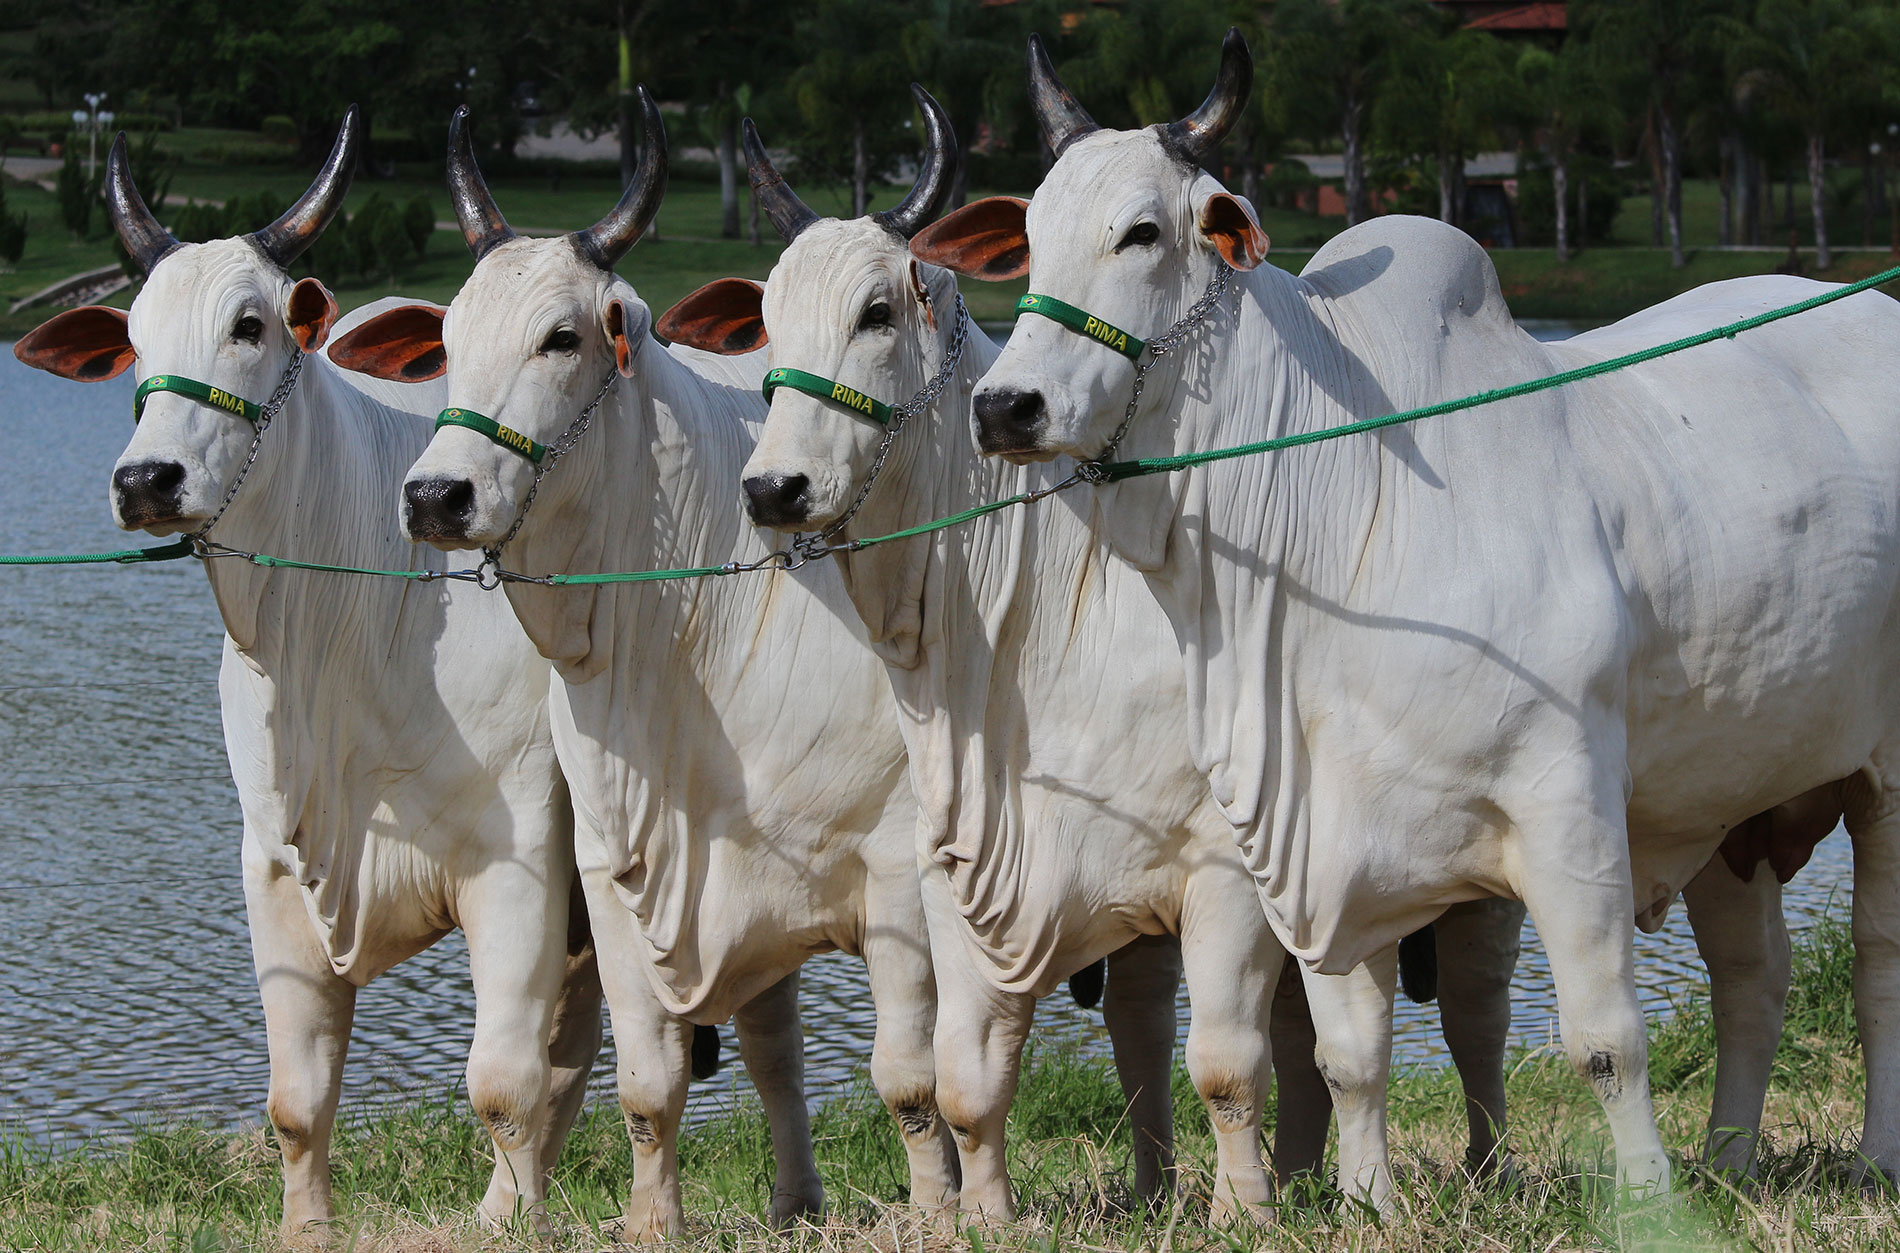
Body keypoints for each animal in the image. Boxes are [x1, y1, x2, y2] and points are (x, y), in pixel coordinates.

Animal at [11, 117, 604, 1232]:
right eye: (134, 343)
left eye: (250, 325)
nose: (145, 480)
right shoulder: (272, 865)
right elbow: (298, 1098)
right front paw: (309, 1227)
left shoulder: (521, 857)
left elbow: (502, 1078)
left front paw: (517, 1226)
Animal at [665, 95, 1527, 1216]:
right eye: (766, 321)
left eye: (877, 313)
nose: (773, 488)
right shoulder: (954, 873)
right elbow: (966, 1076)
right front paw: (984, 1214)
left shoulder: (1222, 867)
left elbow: (1224, 1062)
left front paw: (1241, 1210)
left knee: (1474, 1014)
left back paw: (1479, 1168)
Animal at [957, 26, 1900, 1186]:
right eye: (1028, 237)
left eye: (1140, 231)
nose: (1005, 406)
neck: (1341, 505)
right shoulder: (1317, 839)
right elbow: (1347, 1053)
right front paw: (1367, 1197)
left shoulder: (1569, 801)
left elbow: (1604, 1038)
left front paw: (1647, 1195)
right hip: (1734, 801)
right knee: (1752, 975)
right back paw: (1728, 1157)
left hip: (1883, 772)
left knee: (1876, 963)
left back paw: (1872, 1153)